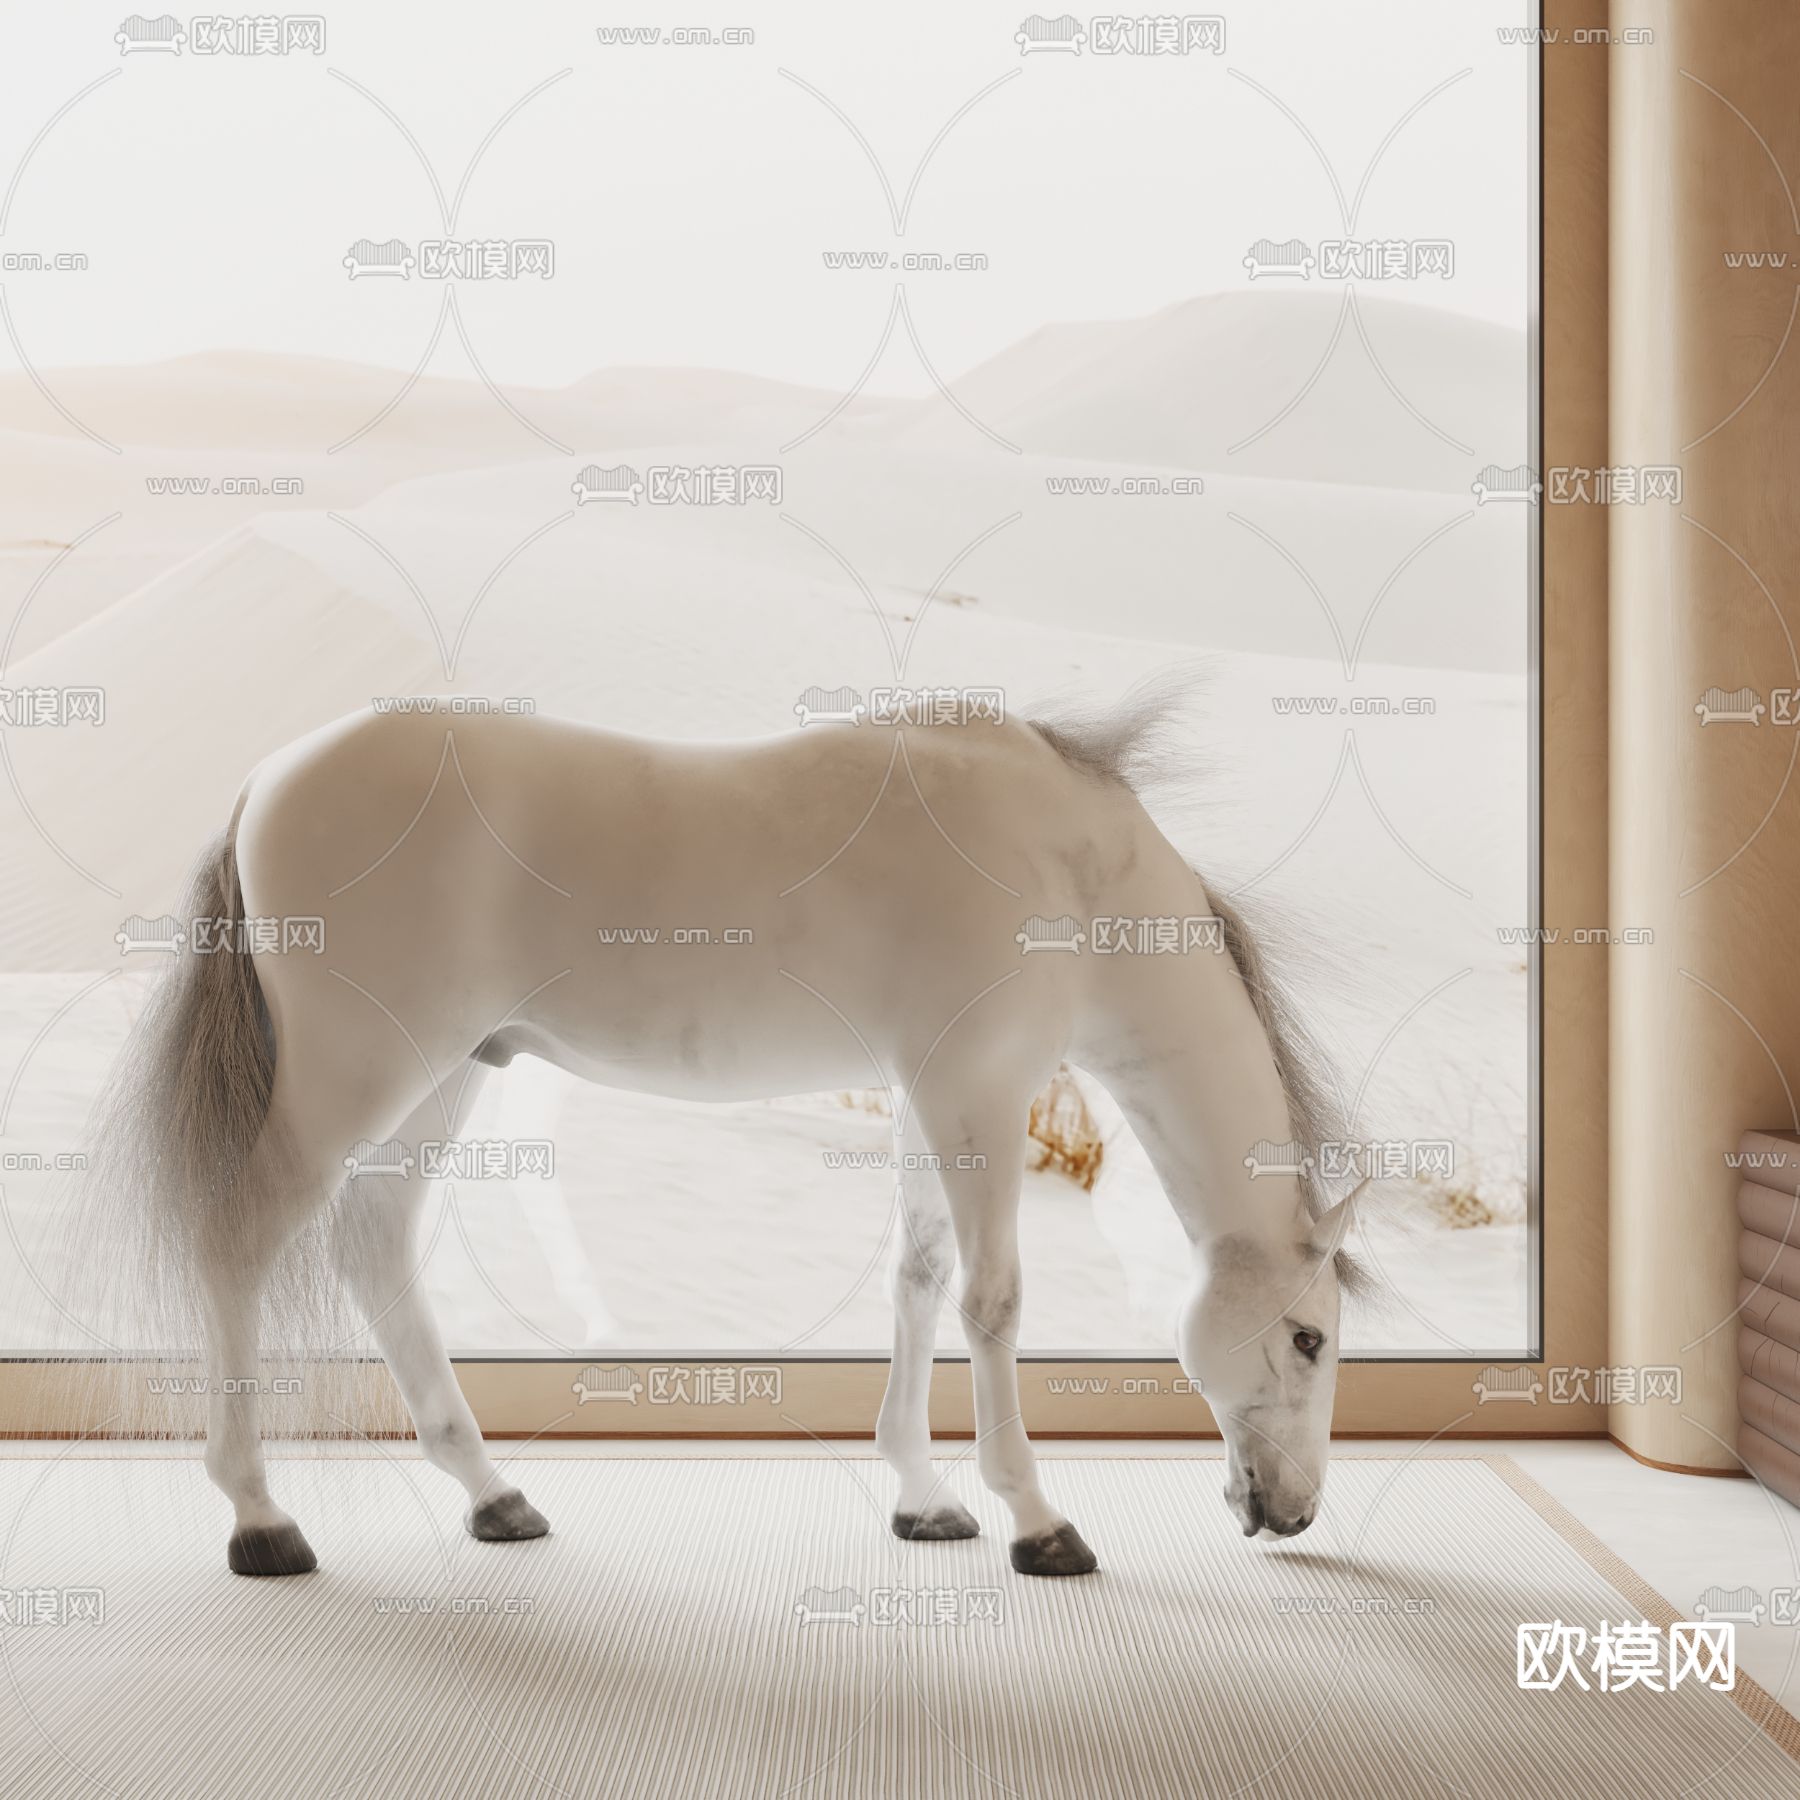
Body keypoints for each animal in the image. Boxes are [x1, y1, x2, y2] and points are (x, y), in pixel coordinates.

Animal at [80, 690, 1366, 1577]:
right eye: (1309, 1338)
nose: (1295, 1510)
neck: (1070, 865)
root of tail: (269, 778)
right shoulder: (982, 1094)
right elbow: (991, 1301)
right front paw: (1037, 1521)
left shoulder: (928, 1094)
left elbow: (916, 1281)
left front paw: (923, 1499)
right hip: (355, 1079)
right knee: (242, 1239)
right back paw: (261, 1518)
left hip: (441, 1077)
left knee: (373, 1245)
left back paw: (493, 1496)